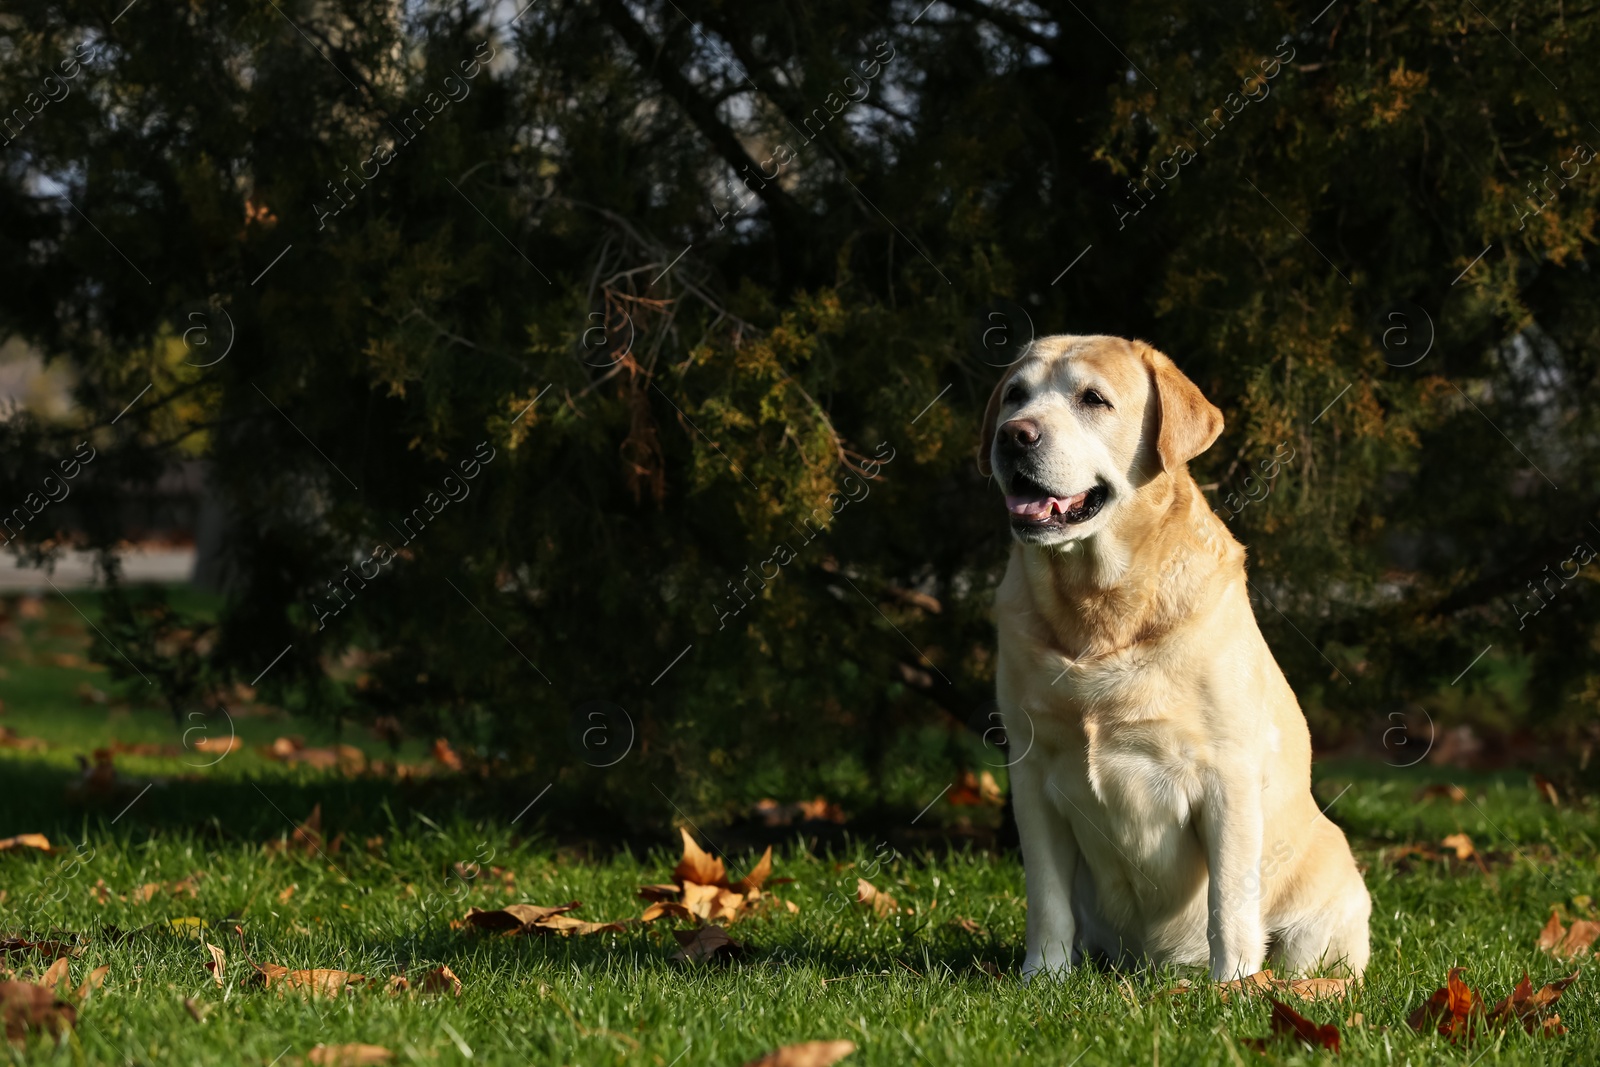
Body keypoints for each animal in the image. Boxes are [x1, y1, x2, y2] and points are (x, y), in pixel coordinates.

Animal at [979, 335, 1369, 985]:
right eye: (1015, 395)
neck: (1100, 609)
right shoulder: (1030, 773)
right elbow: (1047, 899)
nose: (1014, 435)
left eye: (1093, 399)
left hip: (1330, 886)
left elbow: (1228, 902)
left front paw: (1232, 985)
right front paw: (1043, 977)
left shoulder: (1226, 777)